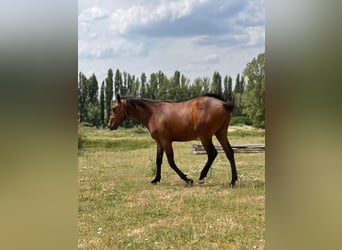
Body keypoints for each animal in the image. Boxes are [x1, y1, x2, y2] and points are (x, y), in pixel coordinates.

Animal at [108, 94, 236, 188]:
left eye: (114, 108)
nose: (110, 125)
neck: (154, 113)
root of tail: (223, 104)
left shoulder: (166, 141)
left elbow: (171, 161)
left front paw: (188, 180)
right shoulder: (159, 142)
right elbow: (158, 160)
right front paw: (156, 179)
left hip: (205, 136)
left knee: (212, 153)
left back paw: (201, 177)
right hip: (221, 133)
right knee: (229, 152)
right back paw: (233, 181)